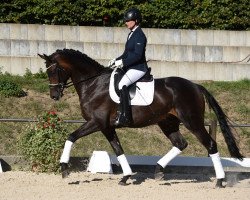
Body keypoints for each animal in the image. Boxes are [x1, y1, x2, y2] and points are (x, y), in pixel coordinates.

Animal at [38, 48, 243, 188]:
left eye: (54, 70)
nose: (54, 96)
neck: (93, 83)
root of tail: (196, 86)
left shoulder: (96, 123)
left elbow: (71, 137)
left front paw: (64, 168)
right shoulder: (107, 127)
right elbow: (118, 149)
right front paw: (126, 176)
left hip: (192, 122)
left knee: (210, 145)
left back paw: (220, 180)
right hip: (167, 122)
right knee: (180, 143)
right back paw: (159, 170)